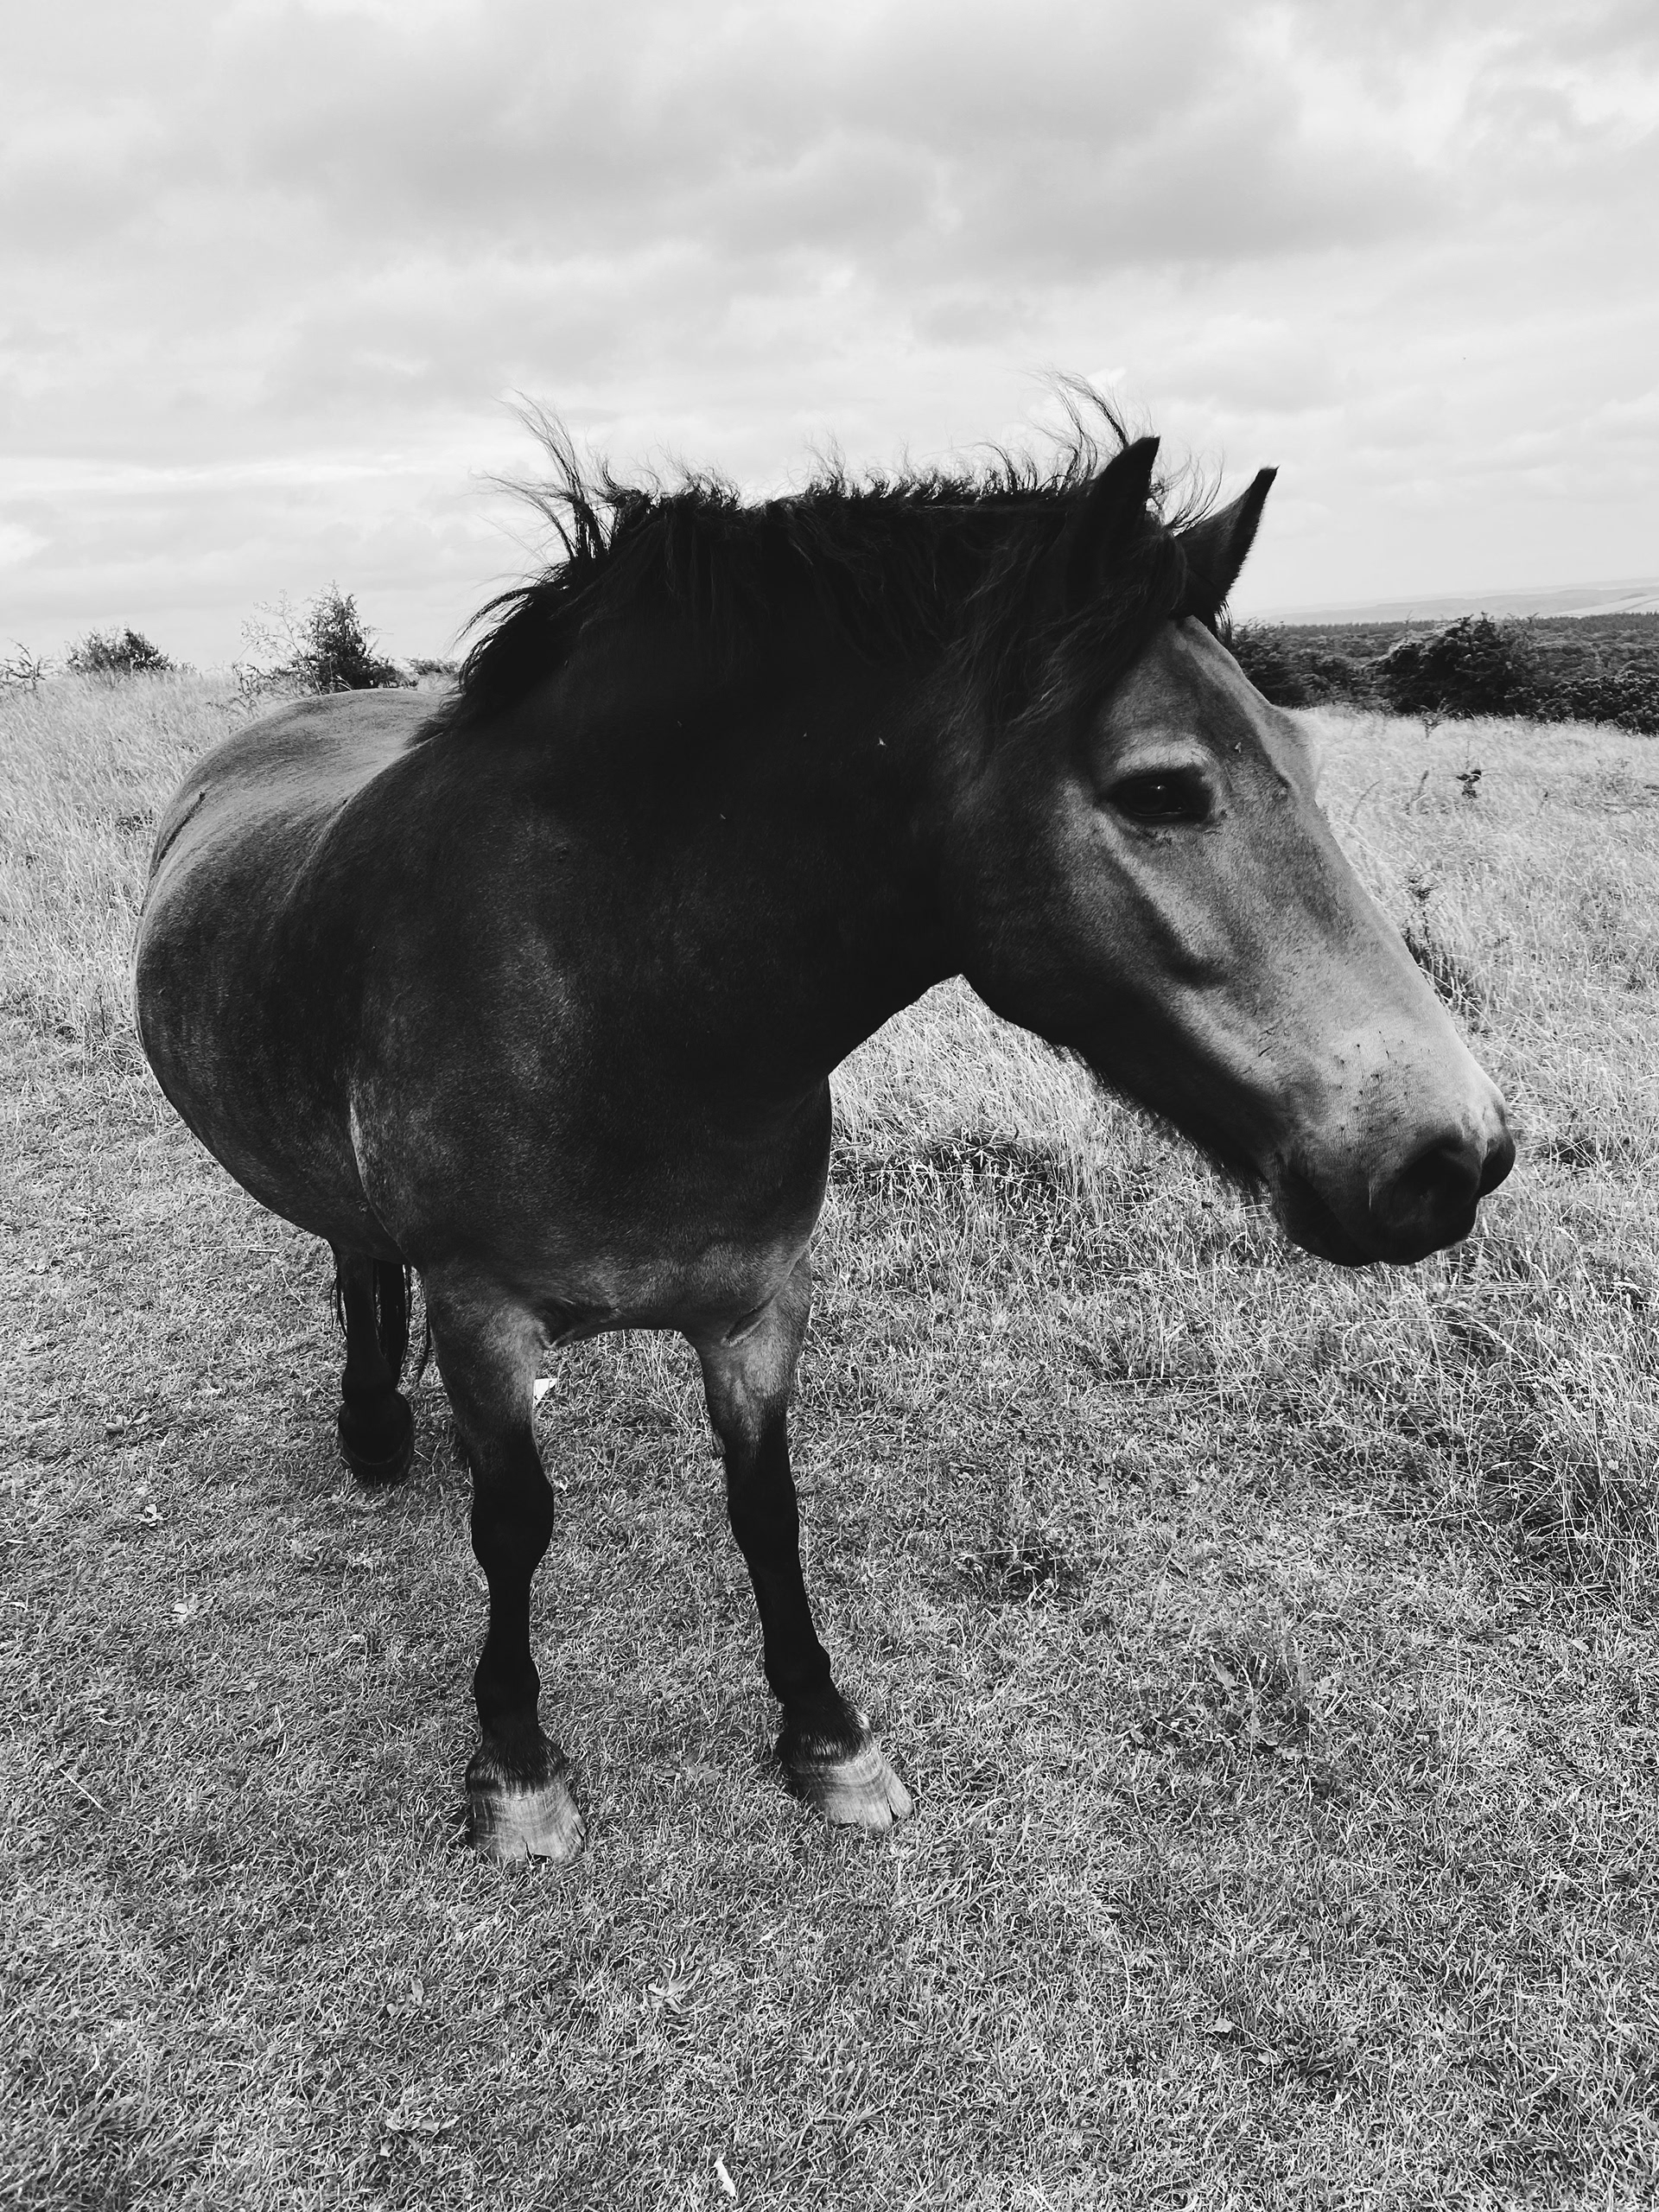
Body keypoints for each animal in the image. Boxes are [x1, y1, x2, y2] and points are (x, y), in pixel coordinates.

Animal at [134, 412, 1515, 1864]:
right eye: (1162, 791)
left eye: (1301, 763)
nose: (1452, 1157)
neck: (622, 1003)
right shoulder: (484, 1308)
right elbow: (515, 1526)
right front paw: (515, 1769)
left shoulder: (756, 1305)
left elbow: (767, 1507)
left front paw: (828, 1738)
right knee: (357, 1260)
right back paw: (375, 1426)